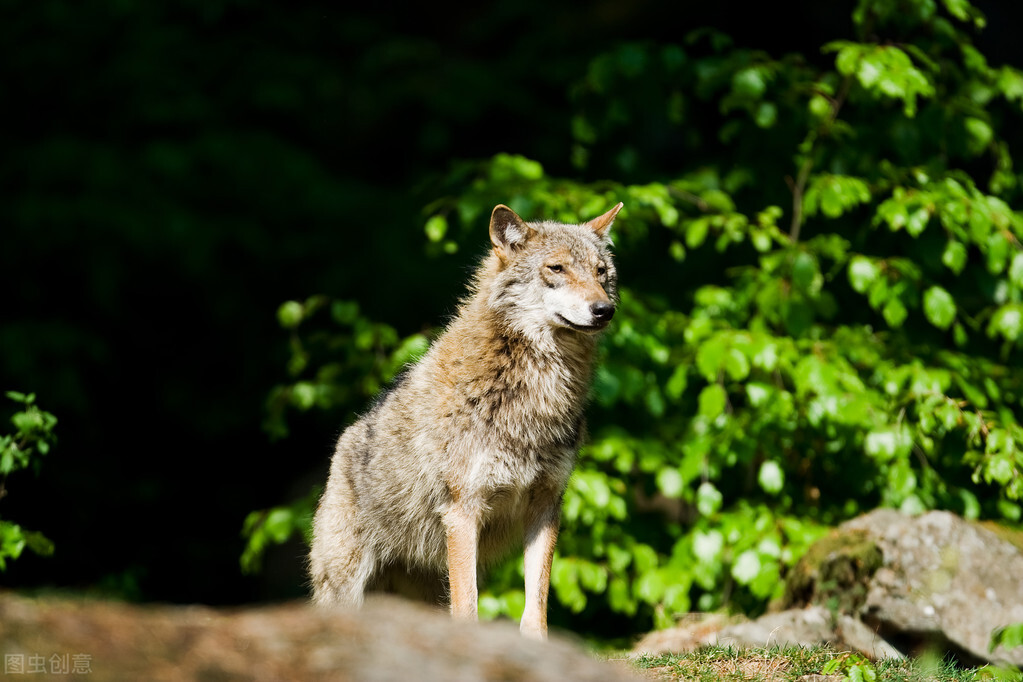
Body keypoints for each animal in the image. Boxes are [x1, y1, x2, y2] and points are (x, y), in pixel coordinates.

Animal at [306, 201, 617, 642]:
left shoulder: (545, 505)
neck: (534, 390)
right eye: (556, 268)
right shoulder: (463, 510)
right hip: (347, 587)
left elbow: (536, 603)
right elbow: (468, 607)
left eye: (601, 271)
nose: (604, 309)